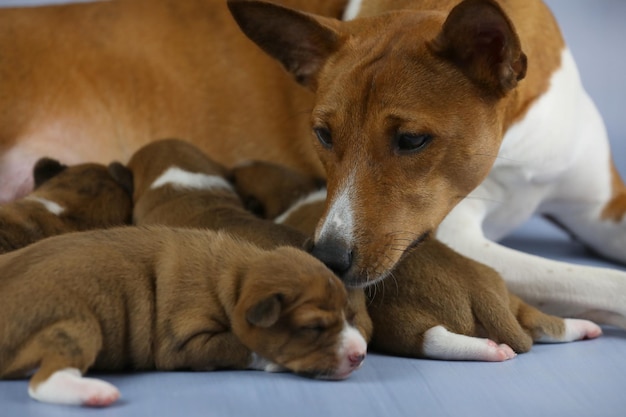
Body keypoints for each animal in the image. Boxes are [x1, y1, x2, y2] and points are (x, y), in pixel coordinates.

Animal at [0, 226, 366, 404]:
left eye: (350, 315)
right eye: (314, 327)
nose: (361, 354)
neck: (235, 280)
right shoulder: (184, 343)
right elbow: (240, 345)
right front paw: (273, 361)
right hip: (77, 325)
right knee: (41, 383)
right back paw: (96, 393)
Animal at [232, 162, 604, 360]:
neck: (295, 195)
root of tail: (482, 295)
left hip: (402, 322)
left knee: (433, 339)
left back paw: (489, 349)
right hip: (510, 295)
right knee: (546, 323)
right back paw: (583, 328)